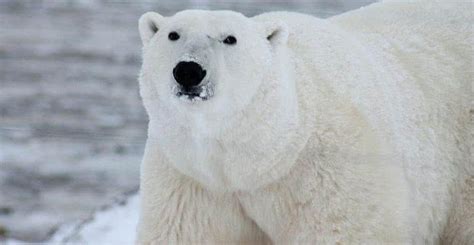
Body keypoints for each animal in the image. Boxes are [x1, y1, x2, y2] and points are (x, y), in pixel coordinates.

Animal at [135, 0, 472, 244]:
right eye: (173, 34)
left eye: (230, 38)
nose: (189, 70)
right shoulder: (191, 179)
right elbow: (185, 233)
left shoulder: (329, 169)